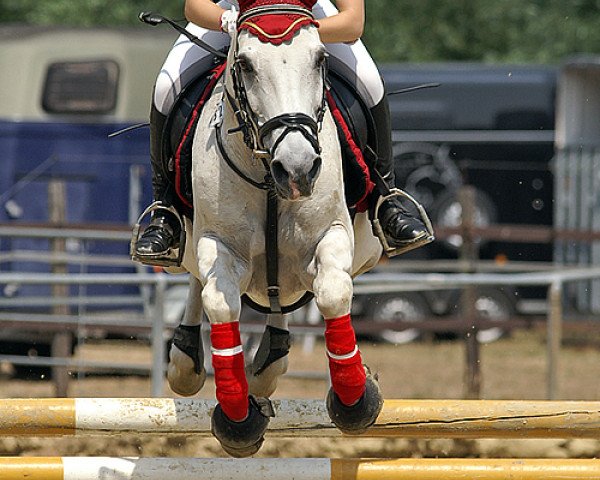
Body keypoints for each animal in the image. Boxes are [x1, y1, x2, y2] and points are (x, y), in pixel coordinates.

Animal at [164, 3, 380, 458]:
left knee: (284, 295)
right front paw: (238, 418)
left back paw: (270, 360)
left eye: (320, 60)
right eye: (245, 64)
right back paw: (188, 360)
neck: (268, 177)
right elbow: (220, 303)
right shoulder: (217, 245)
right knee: (198, 283)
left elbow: (333, 293)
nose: (297, 169)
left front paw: (355, 399)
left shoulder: (333, 234)